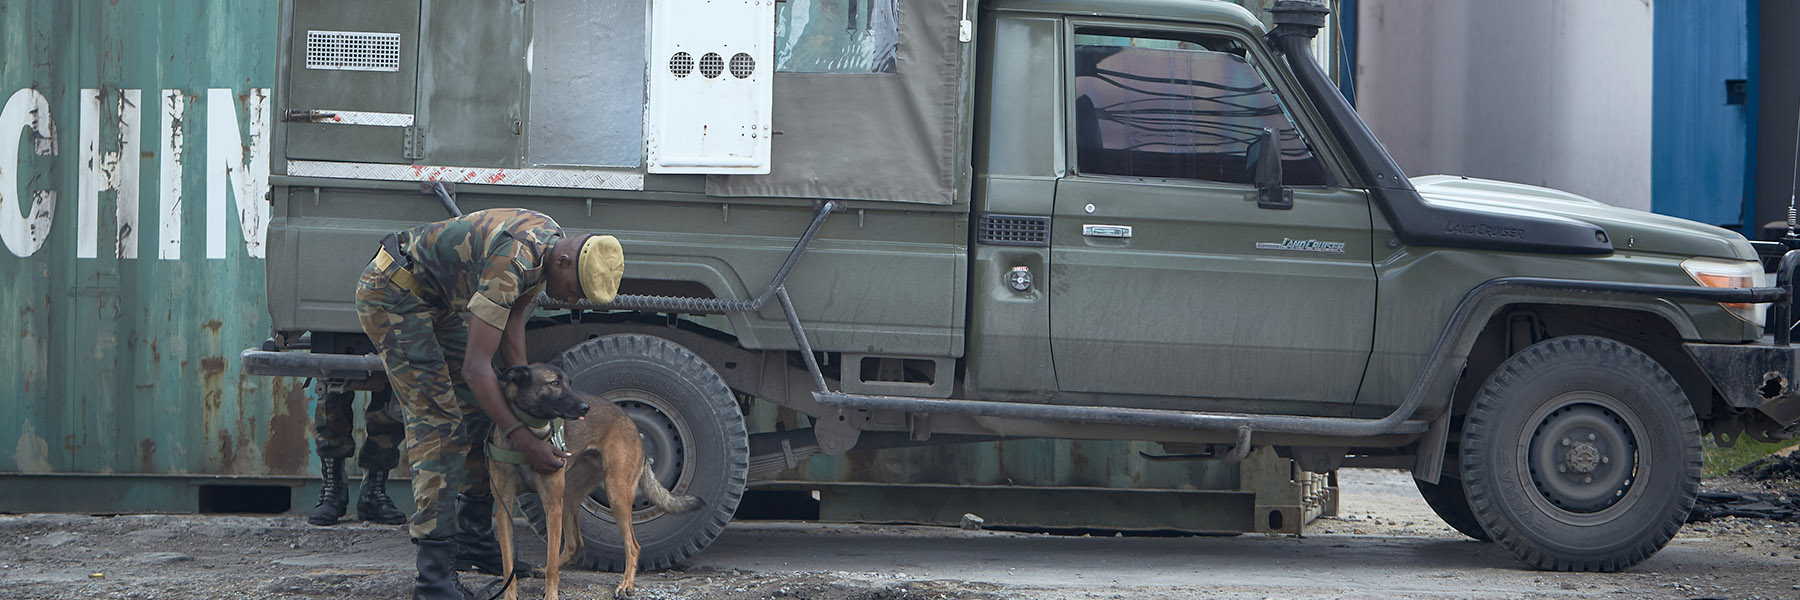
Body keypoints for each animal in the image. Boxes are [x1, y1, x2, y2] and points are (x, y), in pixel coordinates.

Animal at [493, 362, 702, 594]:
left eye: (569, 383)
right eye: (555, 383)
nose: (585, 408)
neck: (530, 435)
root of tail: (631, 423)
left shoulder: (552, 507)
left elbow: (552, 569)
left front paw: (551, 594)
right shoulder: (504, 509)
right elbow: (508, 567)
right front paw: (509, 594)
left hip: (616, 494)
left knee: (633, 546)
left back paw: (626, 584)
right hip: (569, 495)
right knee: (575, 543)